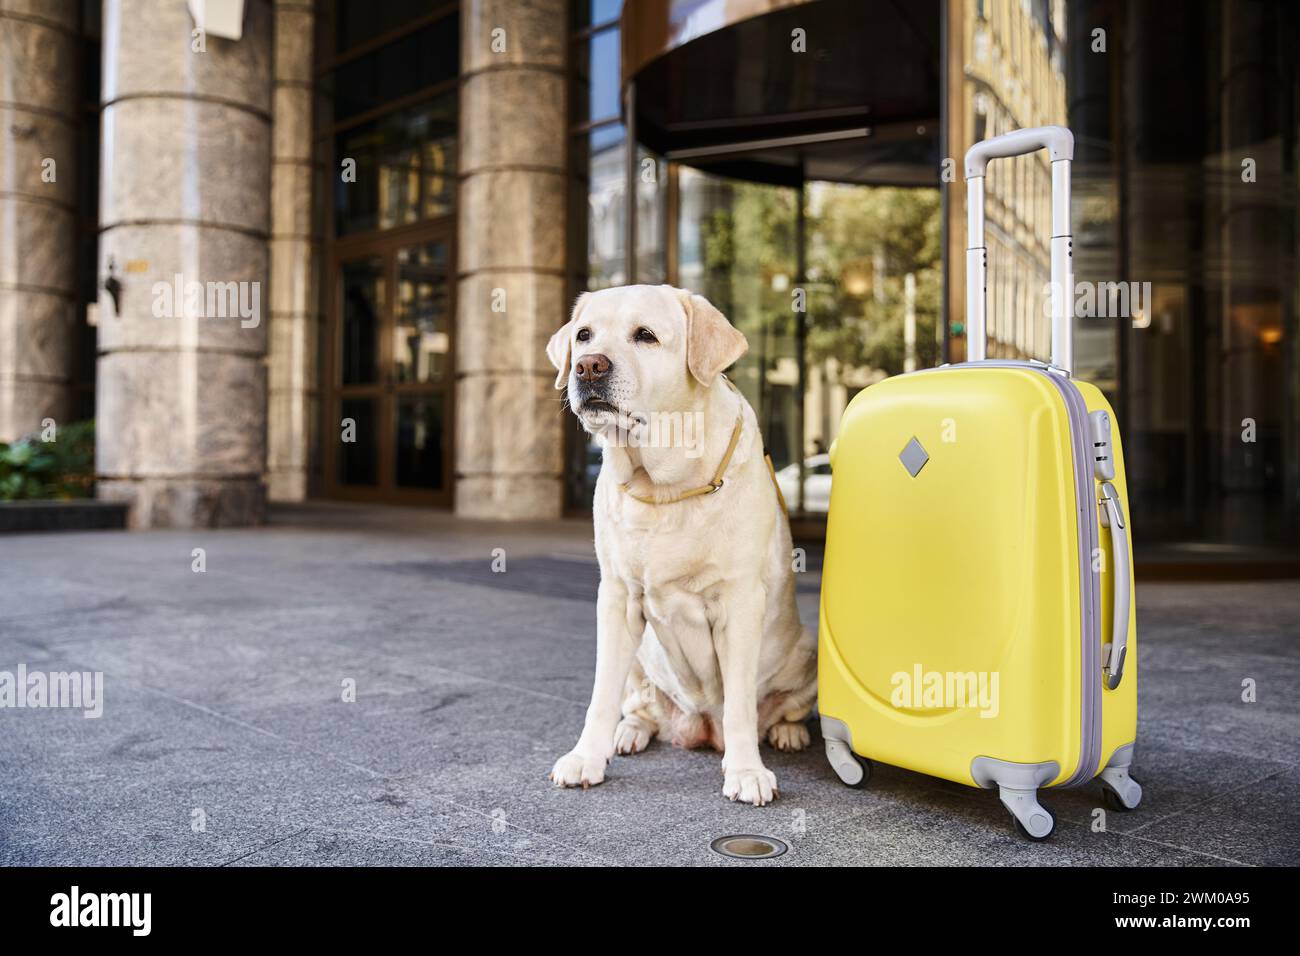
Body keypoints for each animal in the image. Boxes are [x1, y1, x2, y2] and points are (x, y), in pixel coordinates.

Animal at [546, 286, 811, 806]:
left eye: (645, 335)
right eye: (583, 335)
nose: (588, 366)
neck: (663, 486)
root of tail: (699, 727)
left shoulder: (739, 602)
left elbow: (740, 704)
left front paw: (746, 770)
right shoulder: (615, 599)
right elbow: (601, 695)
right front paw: (586, 757)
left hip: (809, 650)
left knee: (776, 709)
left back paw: (788, 732)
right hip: (640, 660)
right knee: (638, 704)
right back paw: (629, 732)